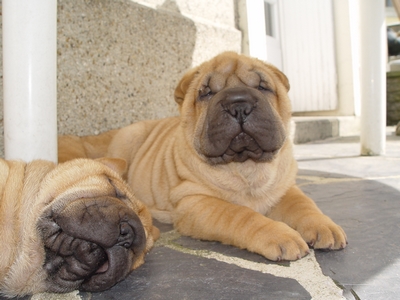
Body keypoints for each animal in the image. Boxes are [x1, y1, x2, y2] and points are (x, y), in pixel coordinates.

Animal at [57, 51, 346, 262]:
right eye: (206, 93)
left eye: (263, 87)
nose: (239, 104)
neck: (245, 166)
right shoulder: (196, 203)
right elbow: (240, 214)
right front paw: (280, 235)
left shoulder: (284, 186)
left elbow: (303, 203)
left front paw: (323, 226)